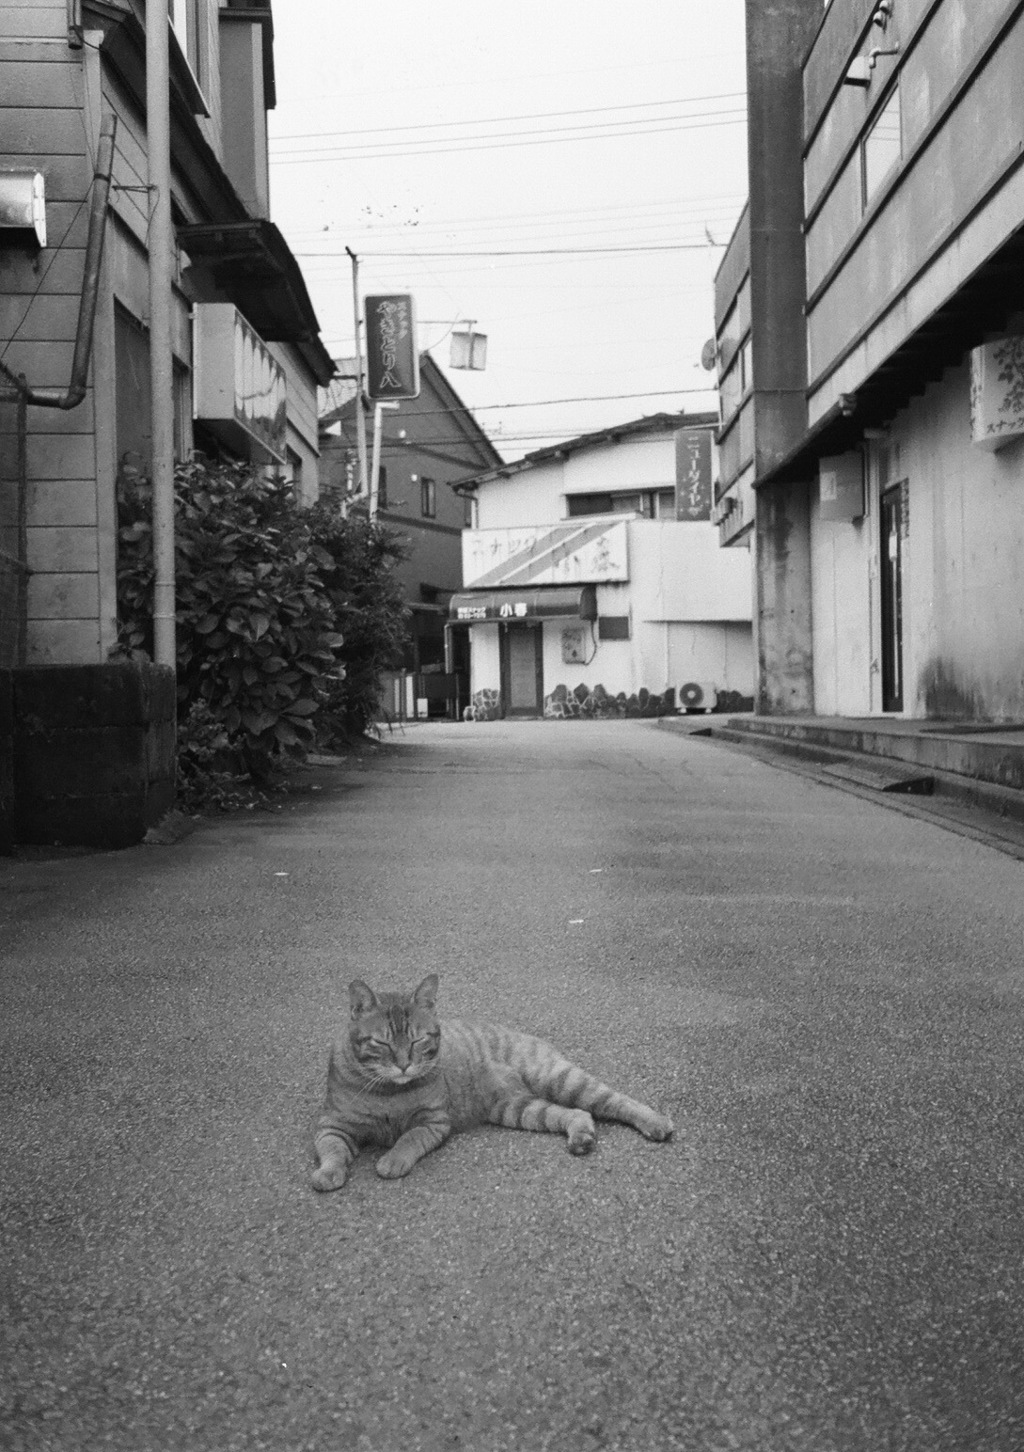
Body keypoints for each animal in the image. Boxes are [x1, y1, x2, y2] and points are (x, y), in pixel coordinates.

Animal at [310, 975, 671, 1190]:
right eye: (382, 1043)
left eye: (417, 1041)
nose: (403, 1065)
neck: (388, 1092)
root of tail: (522, 1032)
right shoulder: (333, 1126)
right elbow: (332, 1149)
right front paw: (329, 1171)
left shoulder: (433, 1123)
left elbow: (408, 1139)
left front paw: (394, 1158)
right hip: (520, 1109)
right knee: (577, 1114)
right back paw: (581, 1136)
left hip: (562, 1081)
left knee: (618, 1101)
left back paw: (655, 1122)